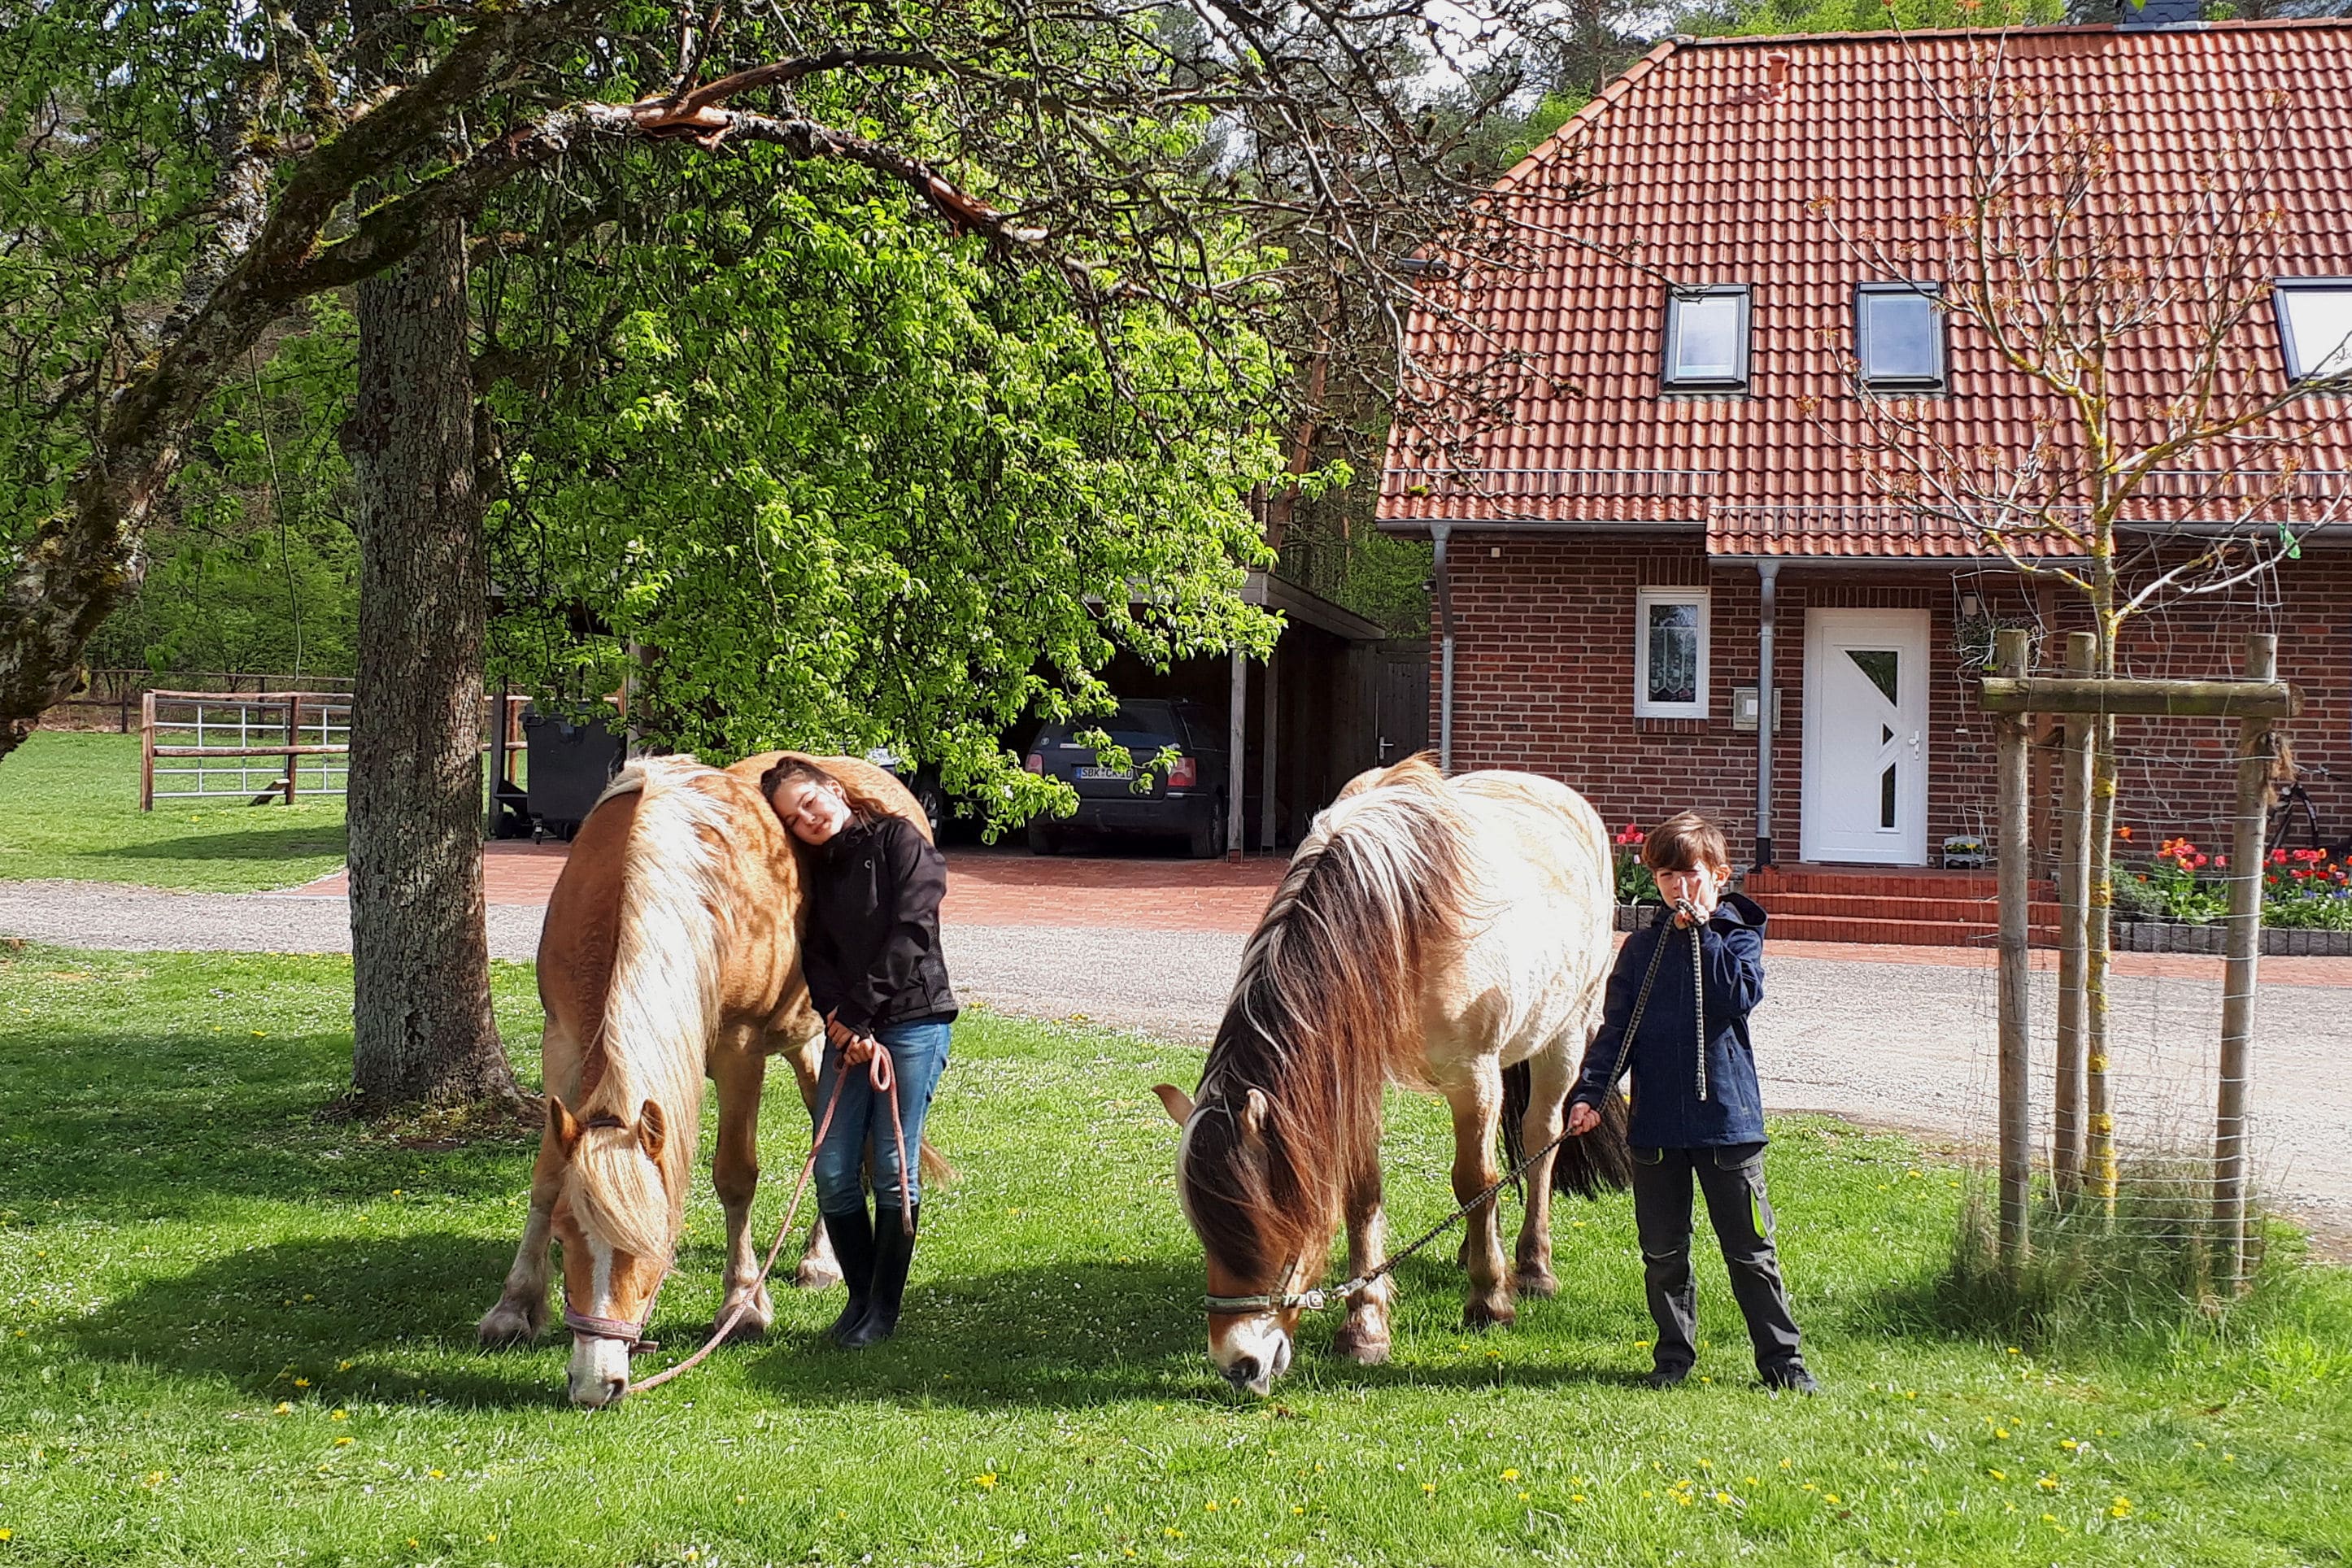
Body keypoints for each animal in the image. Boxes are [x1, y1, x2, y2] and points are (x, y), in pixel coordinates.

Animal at [477, 751, 945, 1410]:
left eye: (654, 1242)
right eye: (567, 1238)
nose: (597, 1384)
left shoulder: (738, 1051)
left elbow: (735, 1177)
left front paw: (743, 1303)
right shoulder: (562, 1042)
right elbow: (546, 1179)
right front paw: (514, 1307)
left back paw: (821, 1264)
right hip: (814, 1043)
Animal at [1148, 751, 1627, 1392]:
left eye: (1263, 1223)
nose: (1239, 1365)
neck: (1397, 919)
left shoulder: (1473, 1077)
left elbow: (1473, 1181)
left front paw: (1488, 1302)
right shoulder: (1360, 1081)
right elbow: (1364, 1194)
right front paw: (1365, 1327)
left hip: (1565, 1036)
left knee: (1539, 1142)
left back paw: (1529, 1268)